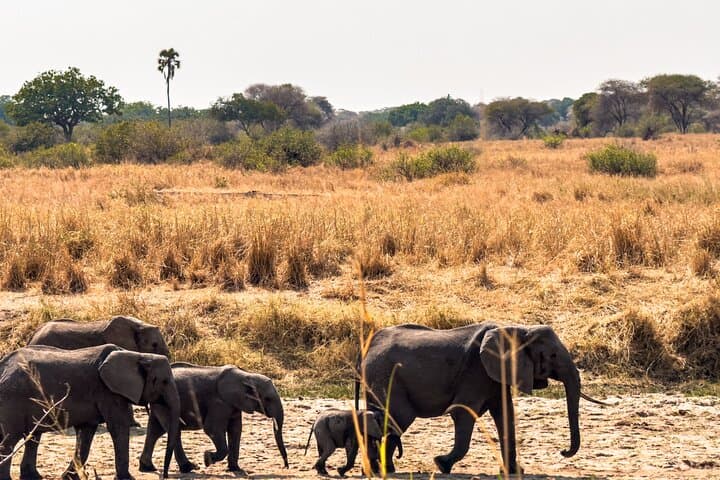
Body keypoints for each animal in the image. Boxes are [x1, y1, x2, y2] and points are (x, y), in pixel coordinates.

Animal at [0, 344, 180, 480]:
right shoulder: (107, 391)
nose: (164, 475)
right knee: (10, 440)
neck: (138, 355)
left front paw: (68, 477)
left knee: (33, 436)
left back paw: (33, 477)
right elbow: (118, 427)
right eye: (164, 381)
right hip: (12, 398)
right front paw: (127, 478)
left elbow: (86, 434)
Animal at [139, 362, 289, 474]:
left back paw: (147, 468)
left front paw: (235, 469)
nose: (286, 466)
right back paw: (189, 468)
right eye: (268, 399)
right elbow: (212, 429)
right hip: (165, 402)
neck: (247, 375)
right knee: (171, 431)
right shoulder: (219, 402)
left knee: (155, 431)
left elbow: (236, 430)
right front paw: (207, 459)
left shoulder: (234, 403)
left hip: (159, 403)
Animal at [356, 323, 608, 475]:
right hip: (387, 378)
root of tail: (367, 348)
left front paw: (514, 472)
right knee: (397, 418)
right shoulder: (475, 372)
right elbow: (462, 412)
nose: (563, 452)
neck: (517, 329)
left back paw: (381, 470)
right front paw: (441, 464)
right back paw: (381, 471)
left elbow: (505, 415)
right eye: (553, 355)